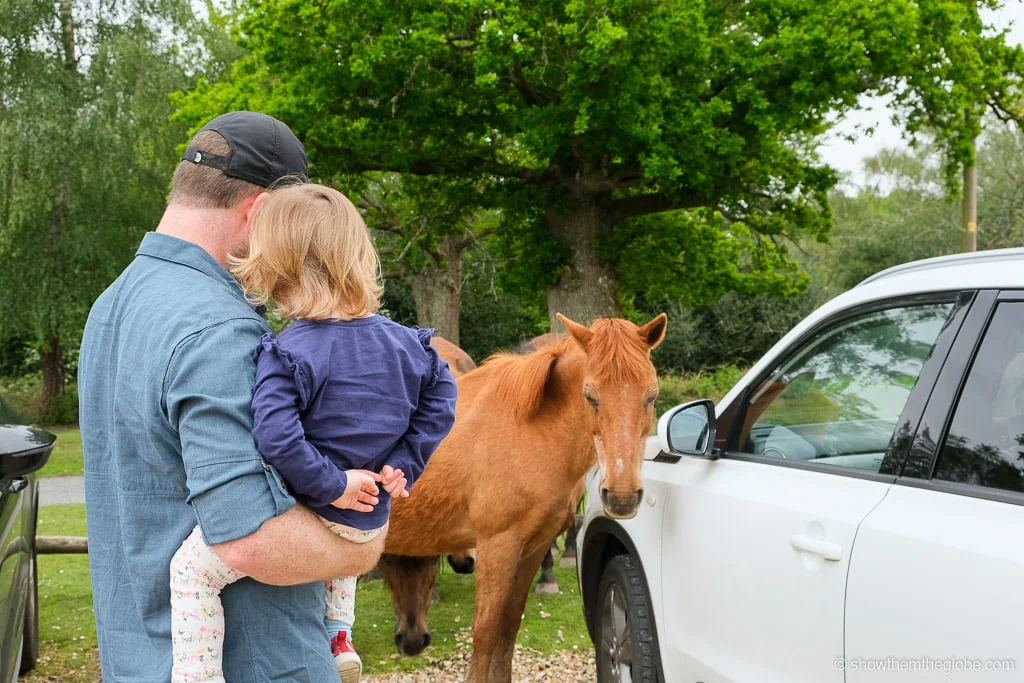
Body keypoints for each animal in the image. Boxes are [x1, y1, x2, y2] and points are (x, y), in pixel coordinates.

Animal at [382, 313, 663, 679]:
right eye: (590, 397)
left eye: (651, 397)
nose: (622, 496)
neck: (529, 431)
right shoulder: (496, 547)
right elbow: (486, 633)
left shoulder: (533, 547)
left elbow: (508, 628)